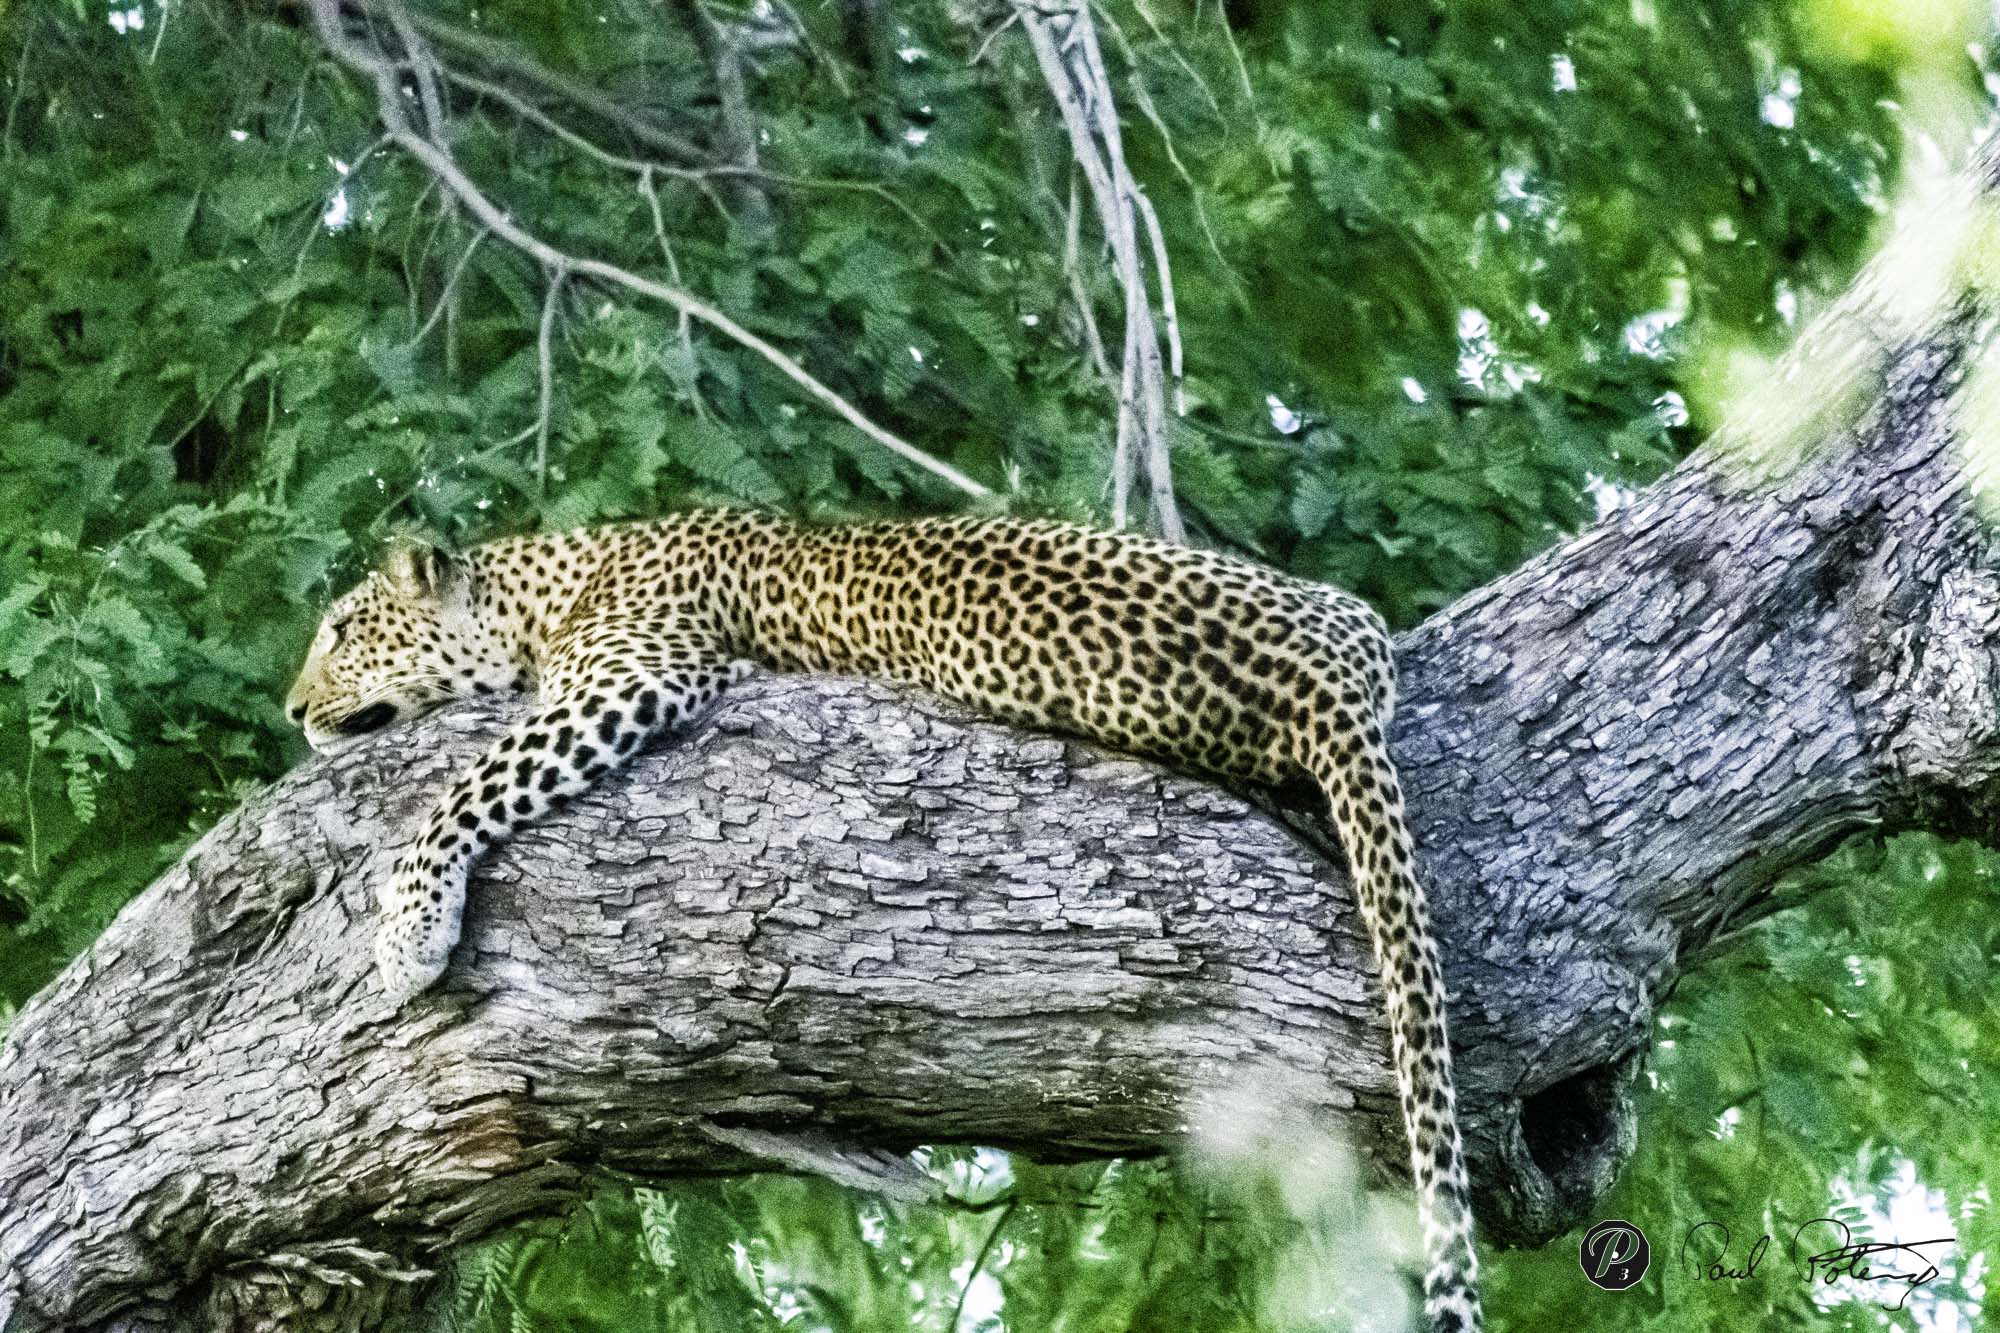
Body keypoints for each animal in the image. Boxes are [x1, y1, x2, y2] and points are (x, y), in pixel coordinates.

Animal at [286, 509, 1481, 1332]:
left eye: (341, 629)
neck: (553, 586)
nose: (292, 711)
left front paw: (408, 931)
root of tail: (1325, 680)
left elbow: (473, 782)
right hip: (1345, 620)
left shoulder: (630, 676)